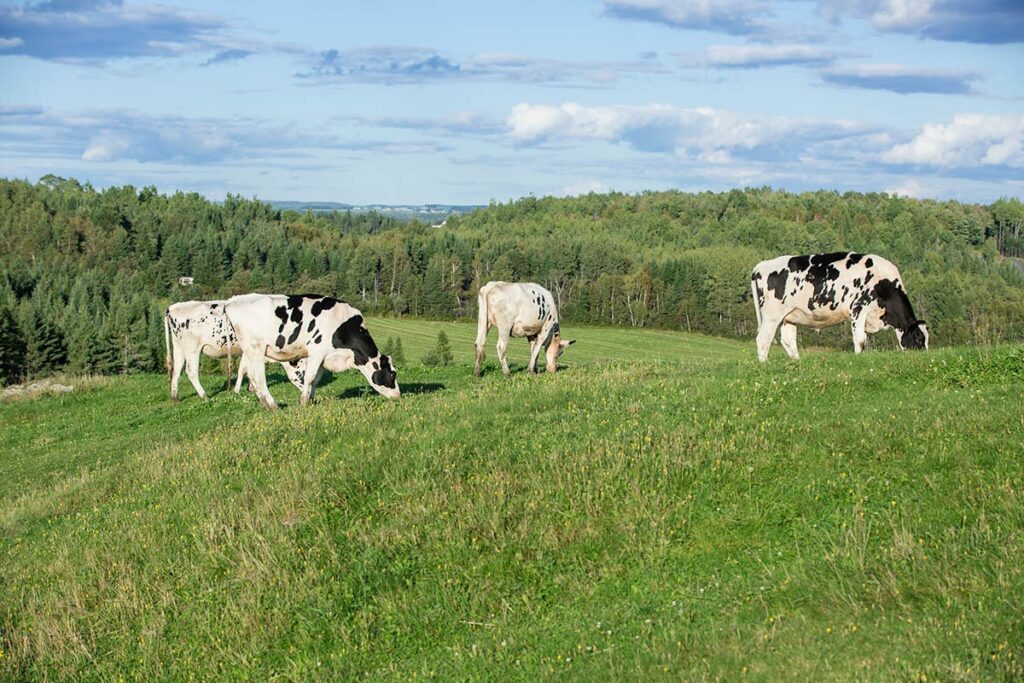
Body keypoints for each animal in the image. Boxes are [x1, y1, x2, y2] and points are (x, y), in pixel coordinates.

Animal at [164, 300, 308, 401]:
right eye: (302, 373)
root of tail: (173, 307)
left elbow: (248, 369)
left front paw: (251, 387)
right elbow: (243, 369)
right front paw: (238, 390)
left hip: (179, 347)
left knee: (176, 371)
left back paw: (175, 397)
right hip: (192, 349)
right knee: (190, 372)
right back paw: (204, 396)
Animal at [224, 293, 399, 409]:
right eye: (392, 374)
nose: (398, 395)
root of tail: (233, 301)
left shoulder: (324, 357)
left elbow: (316, 379)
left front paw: (311, 399)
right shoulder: (317, 351)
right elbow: (309, 377)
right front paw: (304, 402)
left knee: (251, 376)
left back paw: (265, 404)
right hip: (255, 350)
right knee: (258, 378)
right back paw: (273, 406)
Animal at [750, 252, 929, 362]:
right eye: (919, 338)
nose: (924, 356)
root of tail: (761, 265)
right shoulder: (858, 309)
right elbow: (860, 340)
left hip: (789, 316)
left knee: (788, 341)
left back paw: (797, 362)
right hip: (772, 315)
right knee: (763, 339)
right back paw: (764, 364)